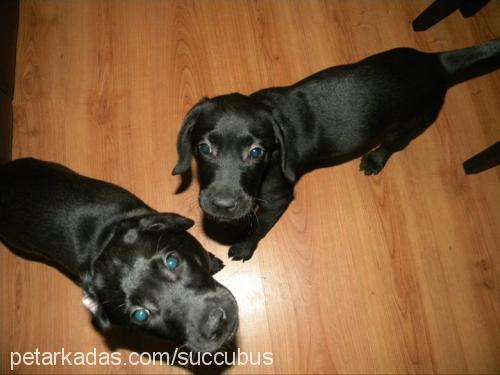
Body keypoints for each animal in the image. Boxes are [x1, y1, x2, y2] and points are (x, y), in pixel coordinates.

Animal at [173, 38, 500, 262]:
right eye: (204, 148)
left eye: (256, 152)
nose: (222, 205)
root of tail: (436, 62)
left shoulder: (278, 197)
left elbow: (259, 226)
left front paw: (243, 245)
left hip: (408, 125)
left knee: (393, 145)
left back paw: (375, 159)